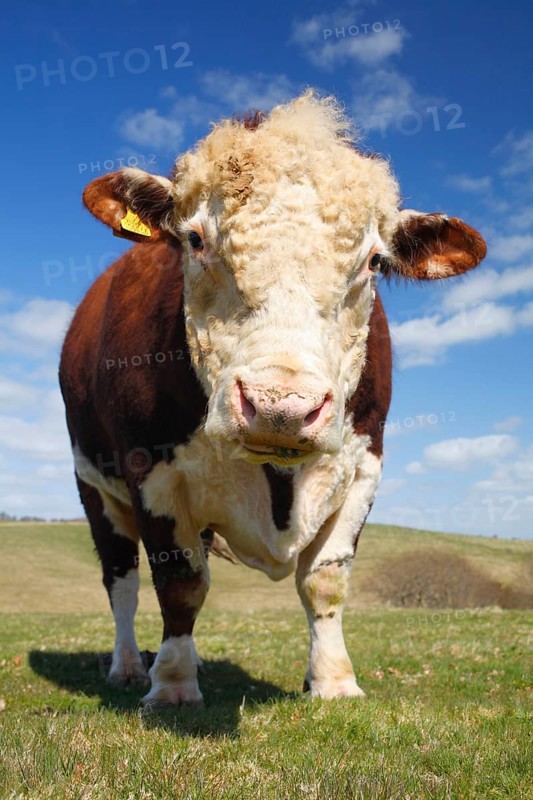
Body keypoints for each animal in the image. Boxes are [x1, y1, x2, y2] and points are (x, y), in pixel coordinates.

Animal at [59, 91, 486, 705]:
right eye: (195, 239)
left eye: (374, 261)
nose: (280, 407)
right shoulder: (150, 470)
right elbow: (179, 582)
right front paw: (172, 684)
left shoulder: (364, 464)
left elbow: (325, 579)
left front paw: (333, 681)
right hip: (94, 486)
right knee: (122, 582)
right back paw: (130, 666)